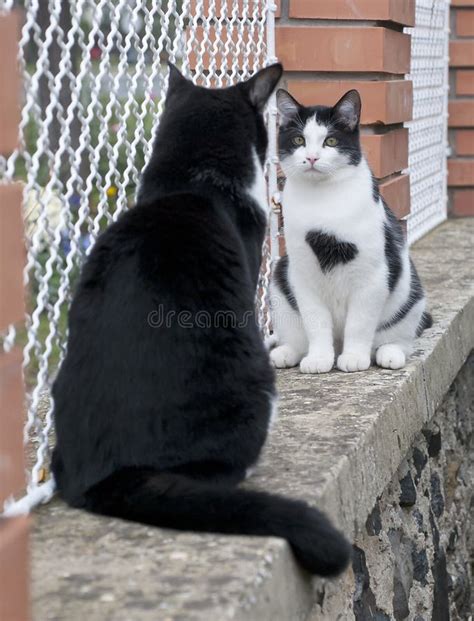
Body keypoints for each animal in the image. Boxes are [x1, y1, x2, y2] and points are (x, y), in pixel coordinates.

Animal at [270, 89, 430, 372]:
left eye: (331, 141)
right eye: (299, 139)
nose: (312, 157)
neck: (322, 199)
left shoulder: (372, 276)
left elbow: (359, 324)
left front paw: (355, 357)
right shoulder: (302, 274)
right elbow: (315, 321)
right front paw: (319, 359)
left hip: (412, 298)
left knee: (400, 339)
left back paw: (389, 353)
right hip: (281, 279)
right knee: (298, 336)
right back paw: (287, 353)